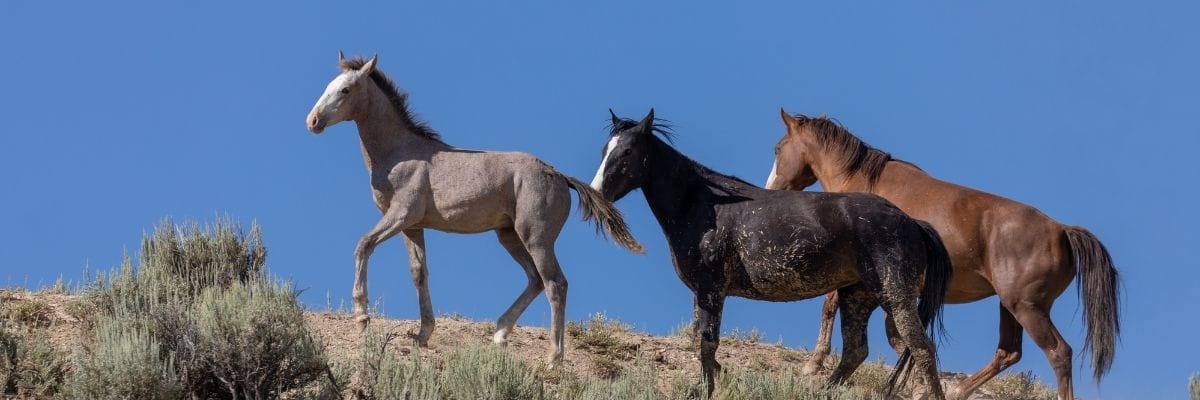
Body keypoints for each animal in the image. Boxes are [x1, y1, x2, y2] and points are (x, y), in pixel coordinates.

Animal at [303, 53, 643, 365]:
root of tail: (560, 176)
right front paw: (423, 334)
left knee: (555, 283)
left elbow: (364, 245)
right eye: (328, 86)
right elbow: (419, 272)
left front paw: (362, 315)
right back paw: (500, 333)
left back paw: (553, 358)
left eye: (345, 89)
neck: (399, 152)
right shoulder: (413, 226)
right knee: (535, 279)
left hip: (536, 237)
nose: (313, 121)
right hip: (508, 235)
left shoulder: (401, 214)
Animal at [591, 109, 954, 399]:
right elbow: (700, 343)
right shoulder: (701, 293)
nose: (596, 193)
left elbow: (708, 344)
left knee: (921, 349)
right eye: (605, 150)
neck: (706, 204)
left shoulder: (711, 289)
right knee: (856, 352)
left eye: (627, 151)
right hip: (858, 296)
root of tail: (911, 222)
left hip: (895, 295)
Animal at [765, 109, 1121, 400]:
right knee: (1008, 352)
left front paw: (814, 364)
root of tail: (1061, 230)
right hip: (1012, 306)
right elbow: (901, 338)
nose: (771, 191)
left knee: (1059, 353)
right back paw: (957, 390)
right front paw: (919, 385)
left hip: (1028, 308)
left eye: (778, 148)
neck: (865, 185)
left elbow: (831, 310)